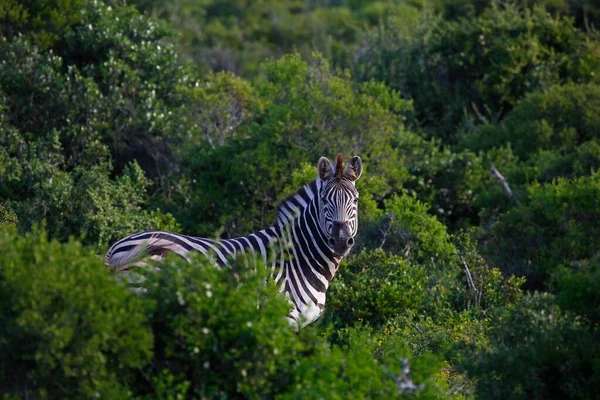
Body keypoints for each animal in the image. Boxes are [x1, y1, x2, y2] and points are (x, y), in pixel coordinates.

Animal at [105, 155, 364, 326]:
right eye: (325, 200)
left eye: (356, 200)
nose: (341, 241)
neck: (299, 258)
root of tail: (115, 247)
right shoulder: (283, 317)